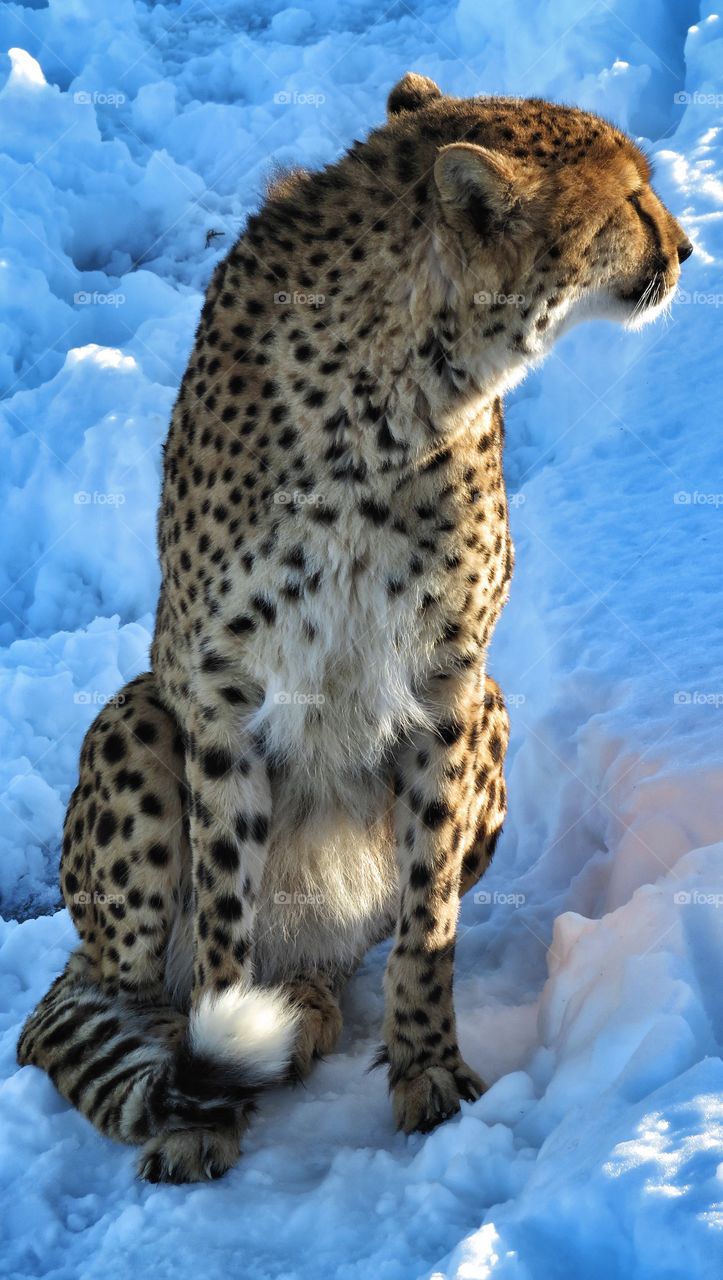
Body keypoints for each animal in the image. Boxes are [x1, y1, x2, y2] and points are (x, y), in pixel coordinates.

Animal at [18, 73, 691, 1183]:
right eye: (631, 199)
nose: (683, 248)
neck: (400, 385)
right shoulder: (222, 690)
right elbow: (228, 913)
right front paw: (206, 1109)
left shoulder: (448, 681)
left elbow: (428, 916)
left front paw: (427, 1068)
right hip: (136, 716)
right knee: (95, 998)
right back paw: (190, 1053)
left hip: (496, 709)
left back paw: (305, 1003)